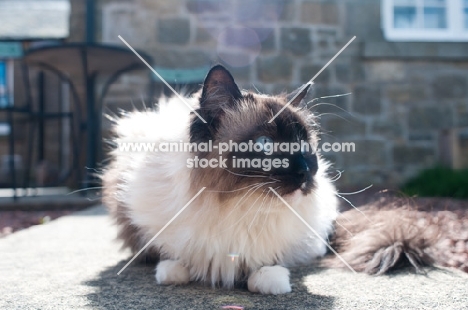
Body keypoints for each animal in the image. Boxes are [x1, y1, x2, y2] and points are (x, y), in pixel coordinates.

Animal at [102, 65, 338, 294]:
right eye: (265, 143)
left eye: (304, 146)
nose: (305, 172)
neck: (235, 203)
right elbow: (170, 254)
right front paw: (173, 271)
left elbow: (266, 261)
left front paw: (269, 281)